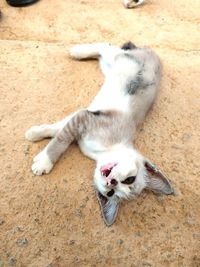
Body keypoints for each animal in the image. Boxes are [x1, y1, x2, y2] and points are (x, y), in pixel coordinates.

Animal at [26, 42, 173, 226]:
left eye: (111, 193)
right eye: (129, 179)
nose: (111, 182)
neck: (102, 152)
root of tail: (155, 56)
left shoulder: (84, 117)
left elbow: (58, 130)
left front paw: (35, 136)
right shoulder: (85, 117)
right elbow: (59, 139)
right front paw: (43, 157)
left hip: (107, 66)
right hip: (115, 60)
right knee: (105, 46)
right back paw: (78, 51)